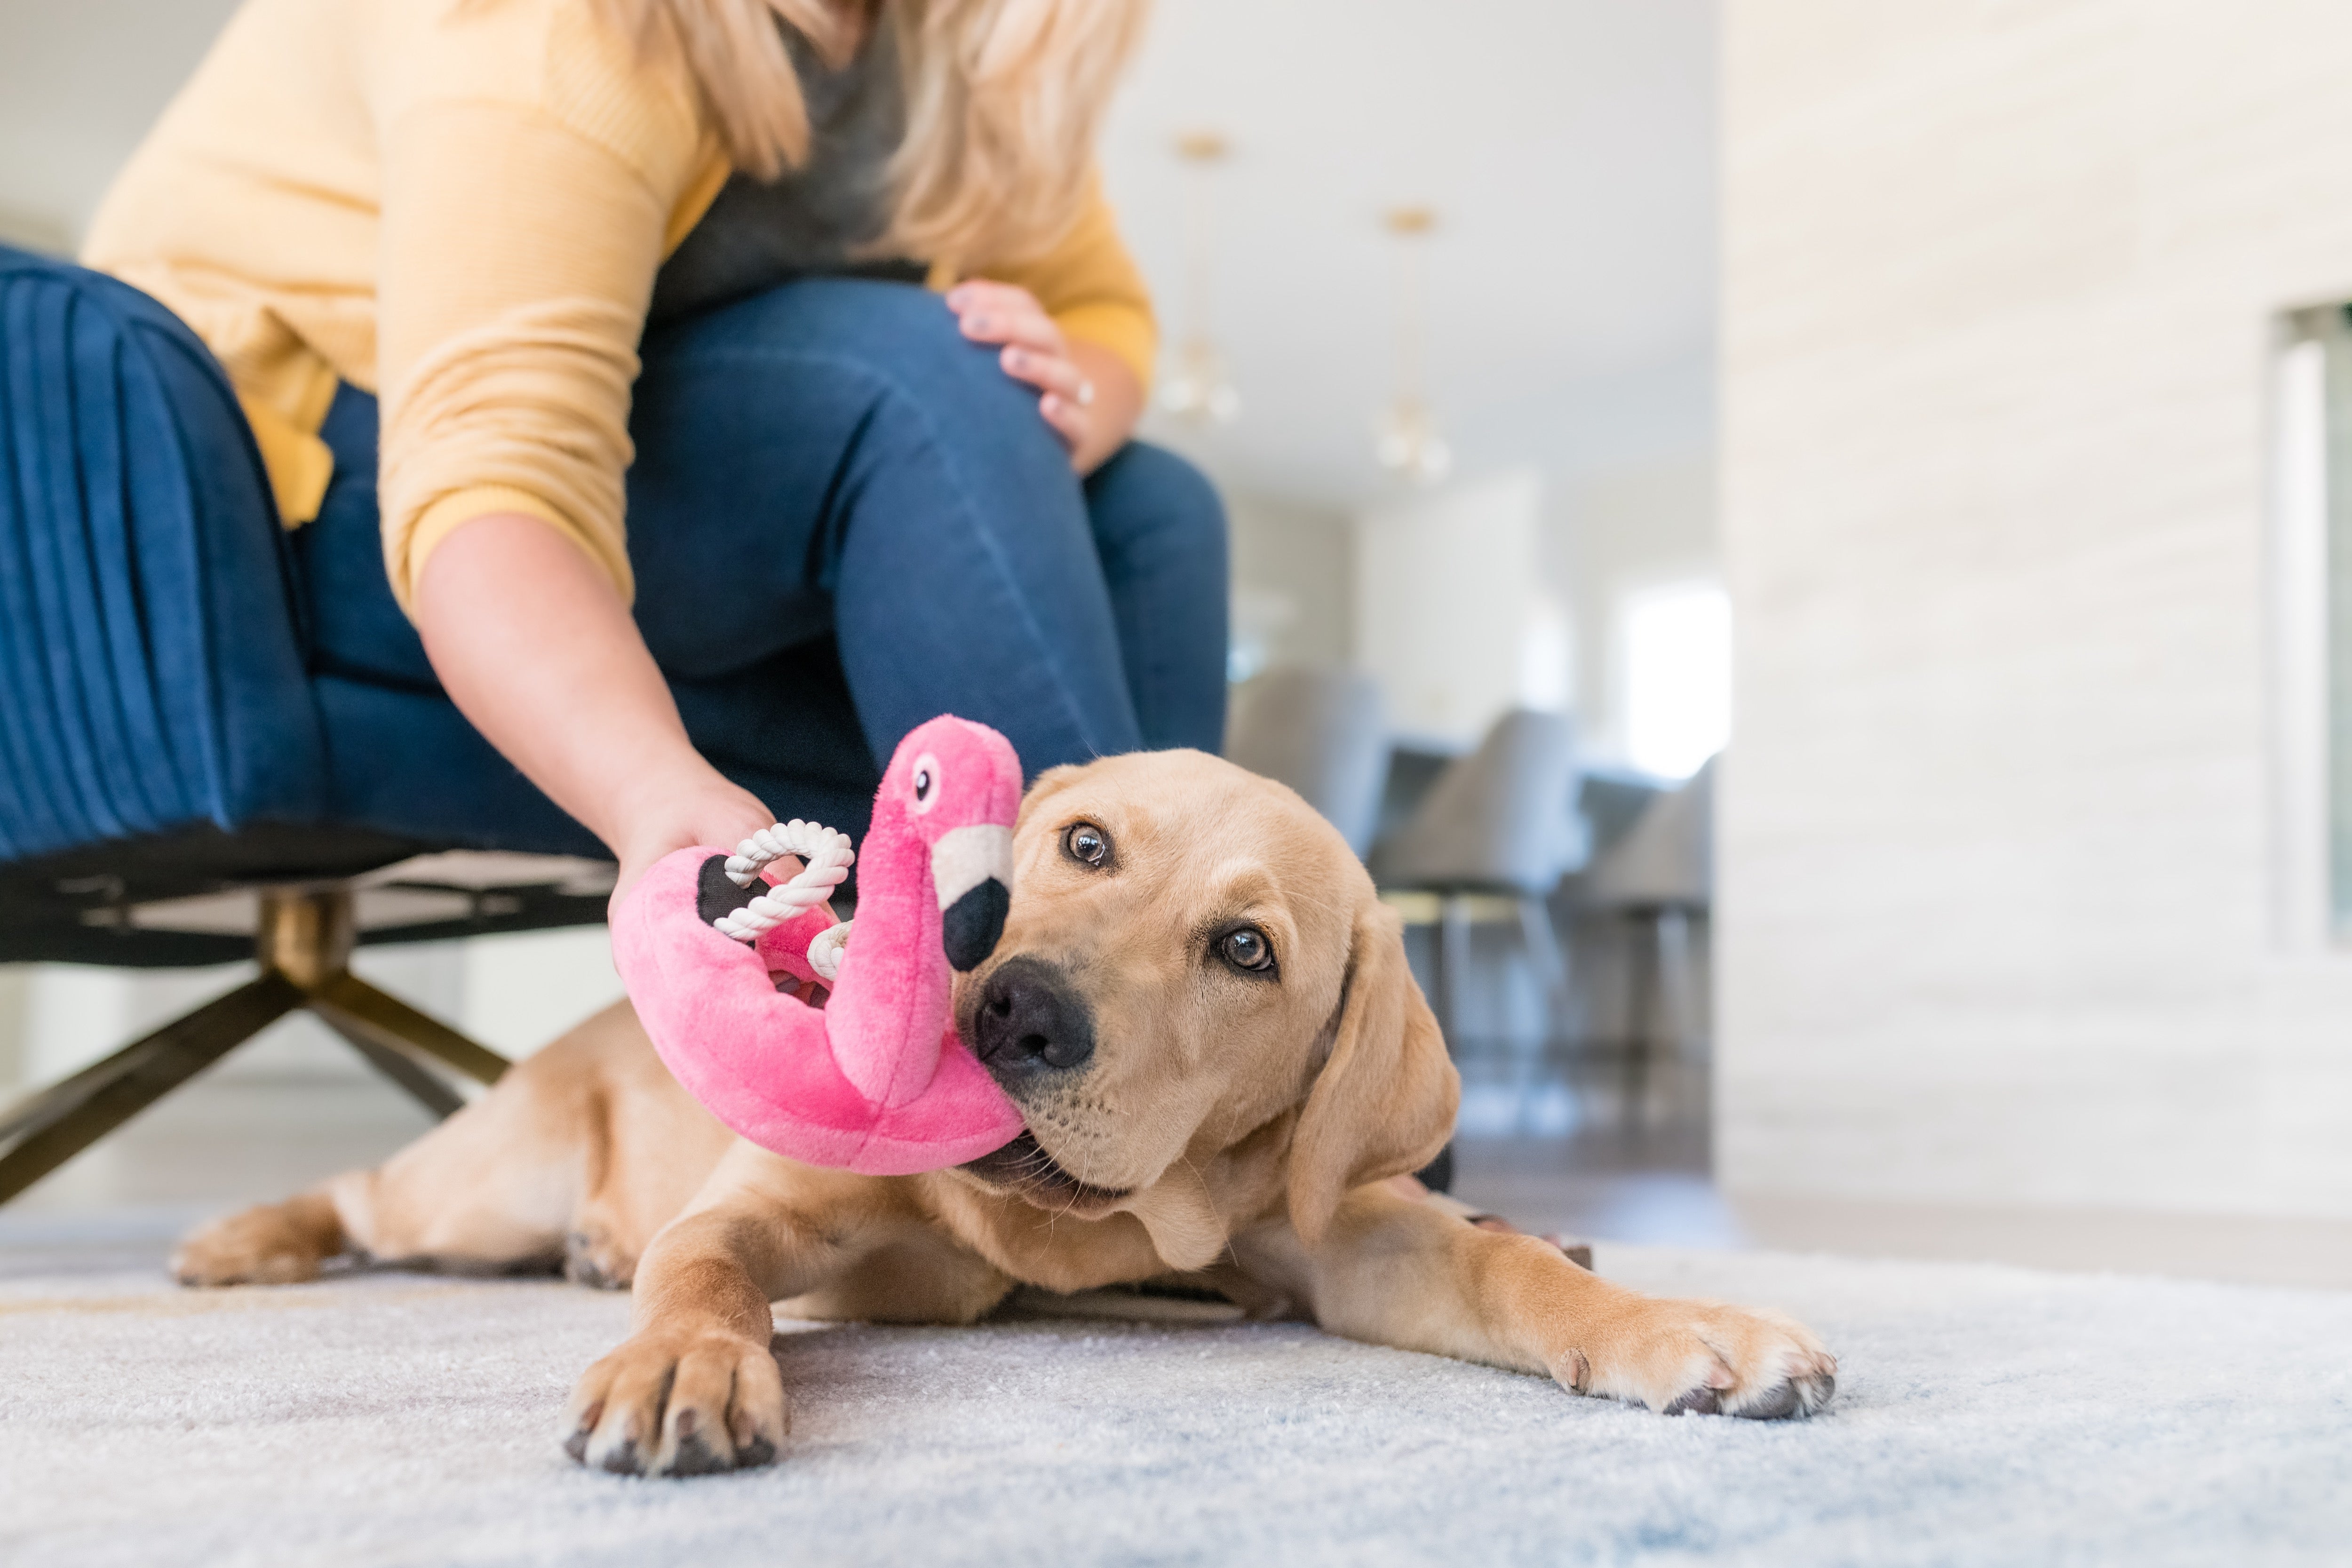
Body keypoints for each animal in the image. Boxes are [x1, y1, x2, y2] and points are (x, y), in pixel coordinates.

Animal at [183, 748, 1835, 1476]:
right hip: (486, 1182)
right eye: (1085, 844)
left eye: (1247, 949)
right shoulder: (760, 1203)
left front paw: (1684, 1322)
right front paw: (679, 1363)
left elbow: (1499, 1262)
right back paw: (244, 1237)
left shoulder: (1332, 1226)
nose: (1017, 1009)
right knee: (367, 1192)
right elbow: (704, 1267)